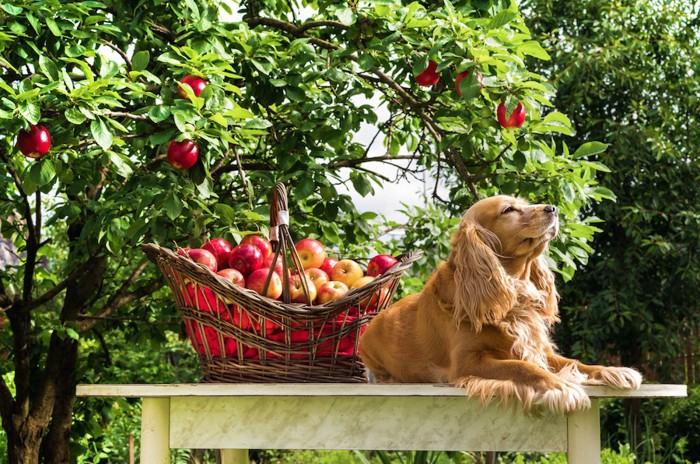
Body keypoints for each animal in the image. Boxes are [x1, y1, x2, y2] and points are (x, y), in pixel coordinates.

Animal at [358, 195, 644, 414]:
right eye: (508, 210)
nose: (553, 208)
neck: (513, 291)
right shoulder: (467, 362)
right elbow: (522, 367)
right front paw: (561, 387)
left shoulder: (539, 350)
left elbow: (575, 362)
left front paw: (612, 370)